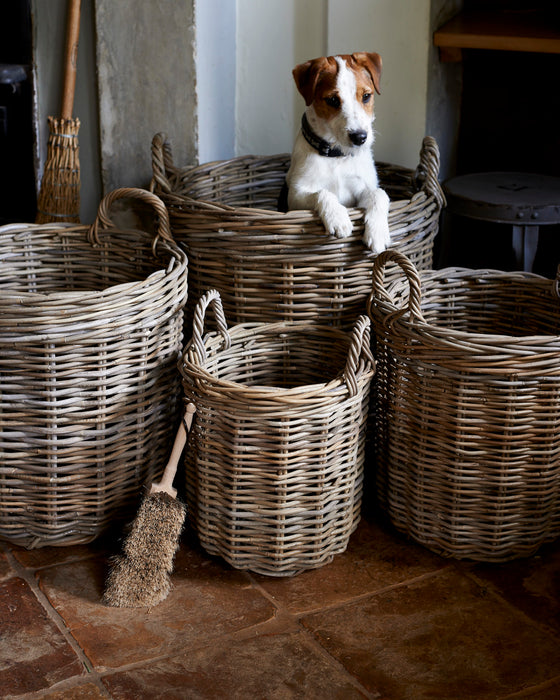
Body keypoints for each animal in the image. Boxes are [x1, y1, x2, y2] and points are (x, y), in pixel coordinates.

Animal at [284, 53, 390, 254]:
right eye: (333, 100)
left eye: (366, 96)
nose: (360, 137)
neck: (337, 156)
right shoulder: (295, 197)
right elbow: (322, 192)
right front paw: (337, 218)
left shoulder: (361, 189)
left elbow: (379, 194)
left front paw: (378, 232)